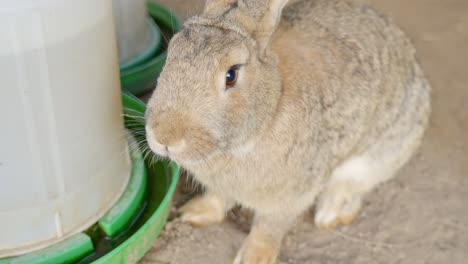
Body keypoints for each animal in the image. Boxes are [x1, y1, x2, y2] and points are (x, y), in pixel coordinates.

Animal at [145, 0, 432, 262]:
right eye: (170, 55)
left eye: (231, 75)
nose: (164, 137)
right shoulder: (222, 186)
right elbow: (218, 198)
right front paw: (194, 213)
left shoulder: (290, 196)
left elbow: (268, 229)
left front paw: (253, 258)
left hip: (379, 155)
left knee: (352, 186)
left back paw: (330, 214)